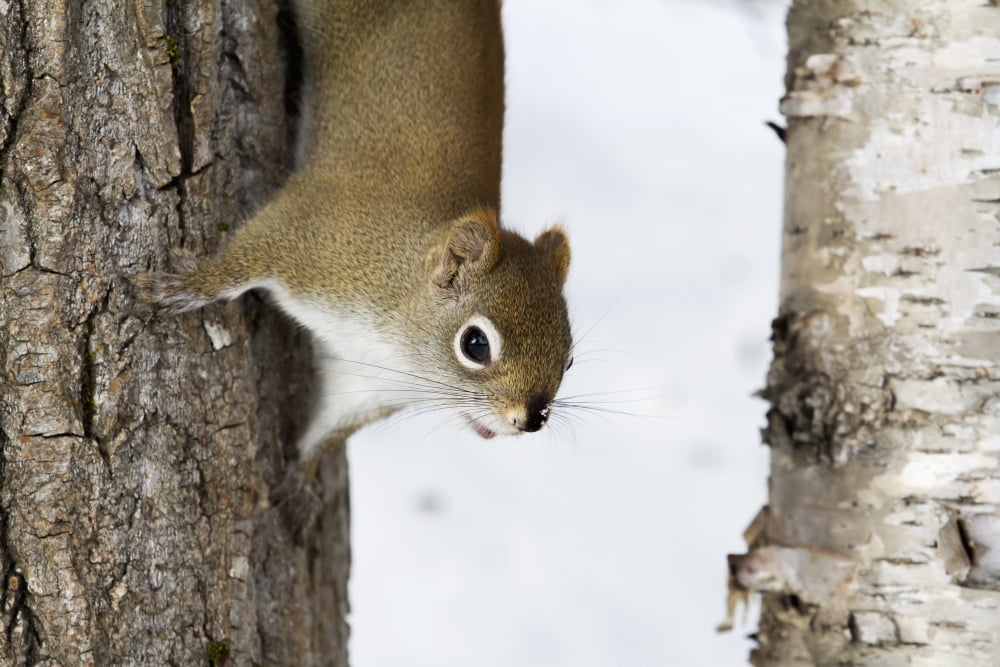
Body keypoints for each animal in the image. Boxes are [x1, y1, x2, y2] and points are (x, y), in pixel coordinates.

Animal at [136, 0, 574, 538]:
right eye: (475, 345)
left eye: (568, 359)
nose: (532, 418)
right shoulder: (314, 239)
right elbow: (243, 260)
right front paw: (187, 286)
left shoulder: (365, 385)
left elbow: (329, 423)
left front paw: (304, 479)